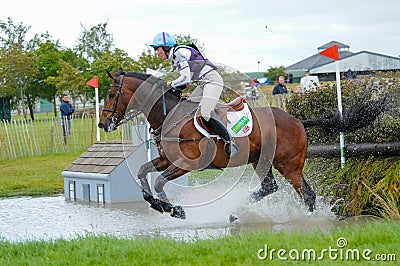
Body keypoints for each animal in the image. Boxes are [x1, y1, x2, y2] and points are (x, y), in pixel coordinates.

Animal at [97, 69, 384, 219]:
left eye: (110, 94)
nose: (102, 124)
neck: (170, 116)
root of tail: (298, 121)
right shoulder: (167, 160)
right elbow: (142, 172)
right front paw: (157, 204)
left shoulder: (184, 164)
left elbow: (157, 181)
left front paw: (174, 208)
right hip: (262, 161)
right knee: (269, 187)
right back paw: (237, 212)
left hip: (288, 164)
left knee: (306, 194)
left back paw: (307, 221)